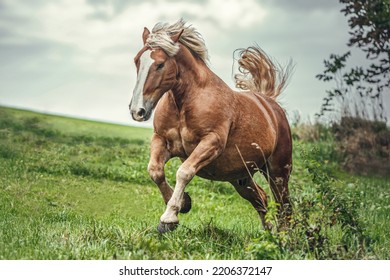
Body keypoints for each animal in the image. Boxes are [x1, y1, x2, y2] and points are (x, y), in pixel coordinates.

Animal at [129, 19, 292, 233]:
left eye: (160, 64)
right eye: (137, 60)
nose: (137, 111)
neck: (186, 103)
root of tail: (270, 103)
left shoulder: (211, 143)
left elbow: (184, 172)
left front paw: (169, 218)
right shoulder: (161, 139)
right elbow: (155, 171)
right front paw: (184, 203)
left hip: (278, 172)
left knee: (284, 206)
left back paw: (285, 237)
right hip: (241, 178)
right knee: (261, 199)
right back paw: (269, 233)